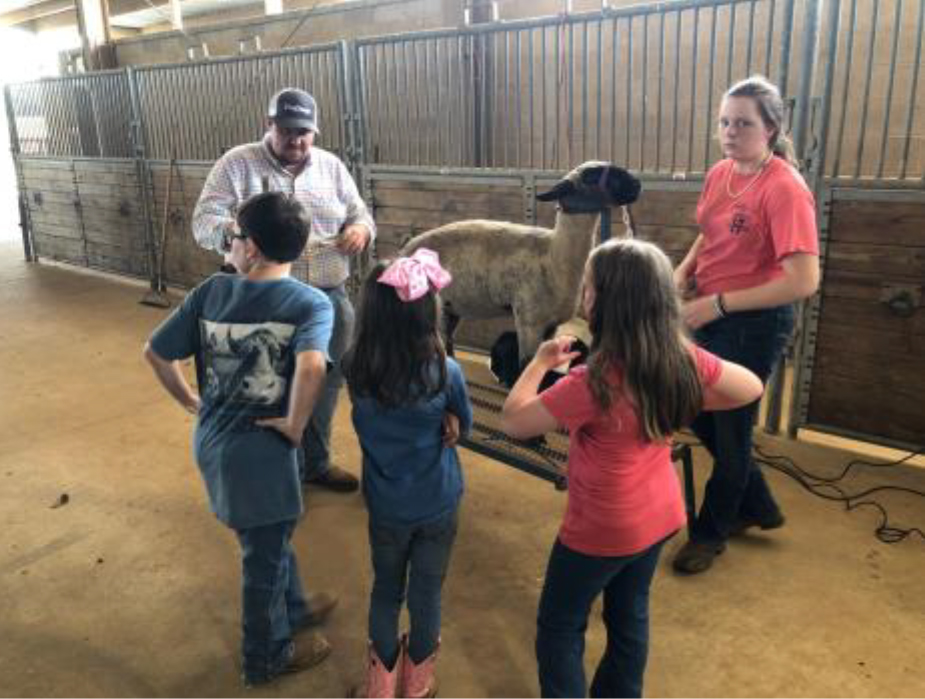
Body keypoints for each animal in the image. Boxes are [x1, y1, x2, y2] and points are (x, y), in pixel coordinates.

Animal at [400, 161, 640, 364]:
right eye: (591, 176)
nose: (637, 184)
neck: (554, 258)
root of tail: (407, 247)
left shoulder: (550, 325)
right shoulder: (528, 322)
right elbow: (525, 367)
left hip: (451, 307)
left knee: (447, 342)